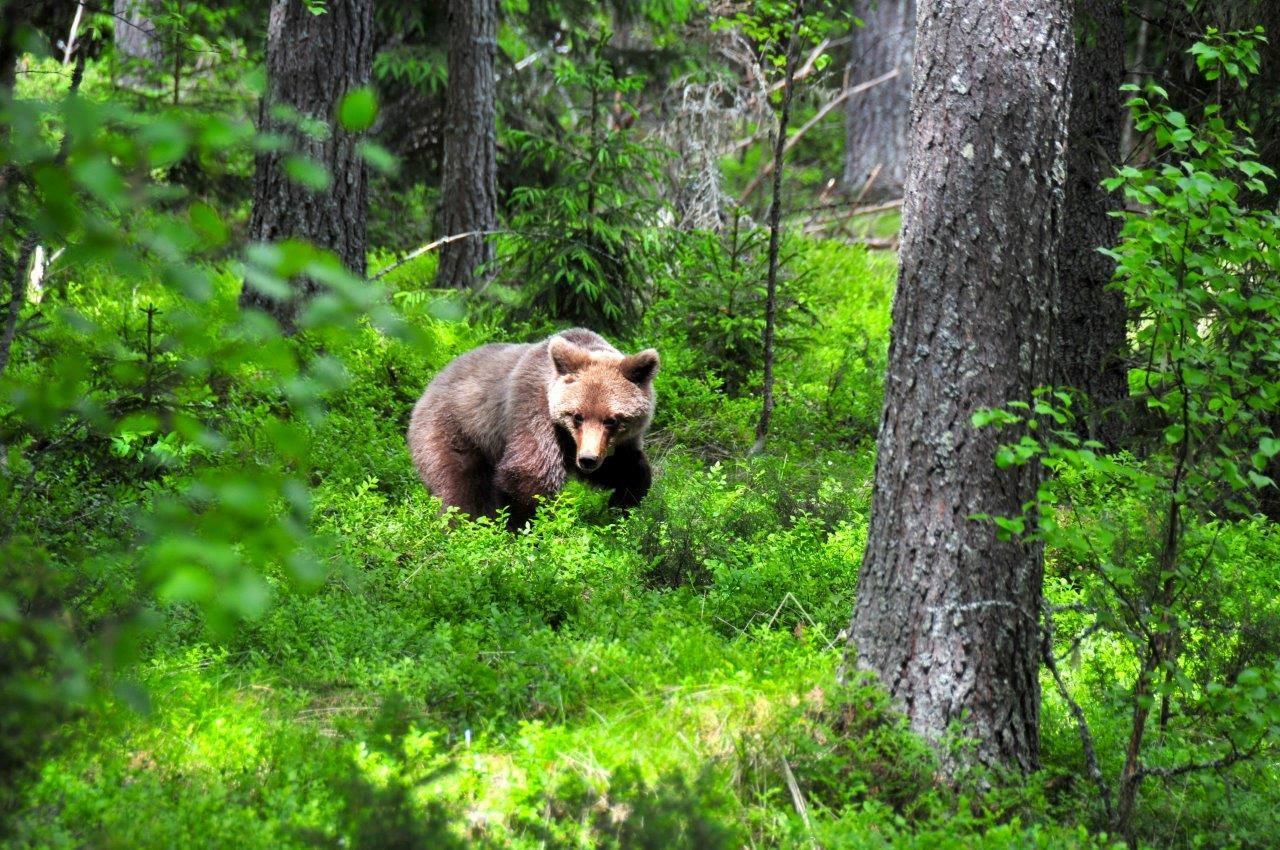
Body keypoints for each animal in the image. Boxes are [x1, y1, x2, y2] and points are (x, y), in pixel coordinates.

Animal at [407, 327, 660, 527]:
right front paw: (523, 528)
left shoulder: (606, 444)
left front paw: (624, 500)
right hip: (455, 429)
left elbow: (627, 466)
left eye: (612, 419)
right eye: (577, 416)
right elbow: (530, 474)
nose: (588, 459)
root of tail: (428, 387)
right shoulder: (534, 411)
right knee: (460, 489)